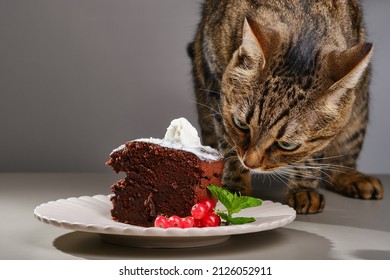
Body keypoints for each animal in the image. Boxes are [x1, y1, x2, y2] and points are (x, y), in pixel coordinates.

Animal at [188, 0, 384, 213]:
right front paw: (234, 187)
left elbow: (311, 157)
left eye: (287, 145)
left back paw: (352, 177)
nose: (250, 163)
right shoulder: (215, 87)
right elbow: (229, 145)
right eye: (241, 124)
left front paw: (304, 189)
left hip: (358, 112)